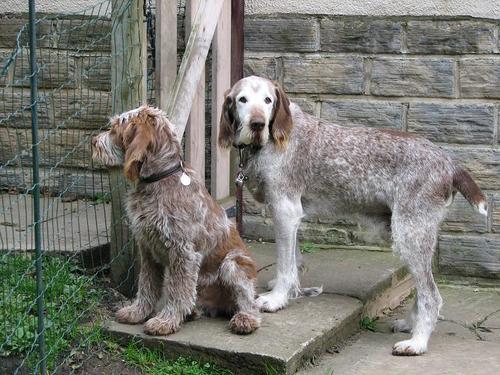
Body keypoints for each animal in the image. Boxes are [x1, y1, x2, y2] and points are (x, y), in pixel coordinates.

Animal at [217, 75, 486, 356]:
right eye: (242, 100)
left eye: (268, 100)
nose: (257, 123)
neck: (268, 142)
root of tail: (449, 163)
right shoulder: (289, 215)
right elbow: (294, 259)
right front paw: (290, 289)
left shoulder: (285, 209)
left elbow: (285, 264)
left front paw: (277, 298)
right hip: (415, 236)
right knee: (422, 292)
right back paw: (409, 326)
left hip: (410, 235)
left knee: (431, 296)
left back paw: (417, 342)